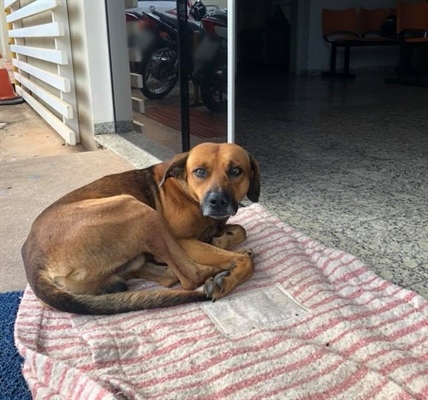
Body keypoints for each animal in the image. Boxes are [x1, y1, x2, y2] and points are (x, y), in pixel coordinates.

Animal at [22, 142, 260, 314]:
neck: (186, 189)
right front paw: (230, 271)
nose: (217, 201)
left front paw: (220, 239)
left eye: (236, 171)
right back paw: (221, 270)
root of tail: (32, 258)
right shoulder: (181, 240)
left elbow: (240, 229)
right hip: (139, 210)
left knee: (167, 276)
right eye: (199, 172)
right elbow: (240, 258)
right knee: (191, 276)